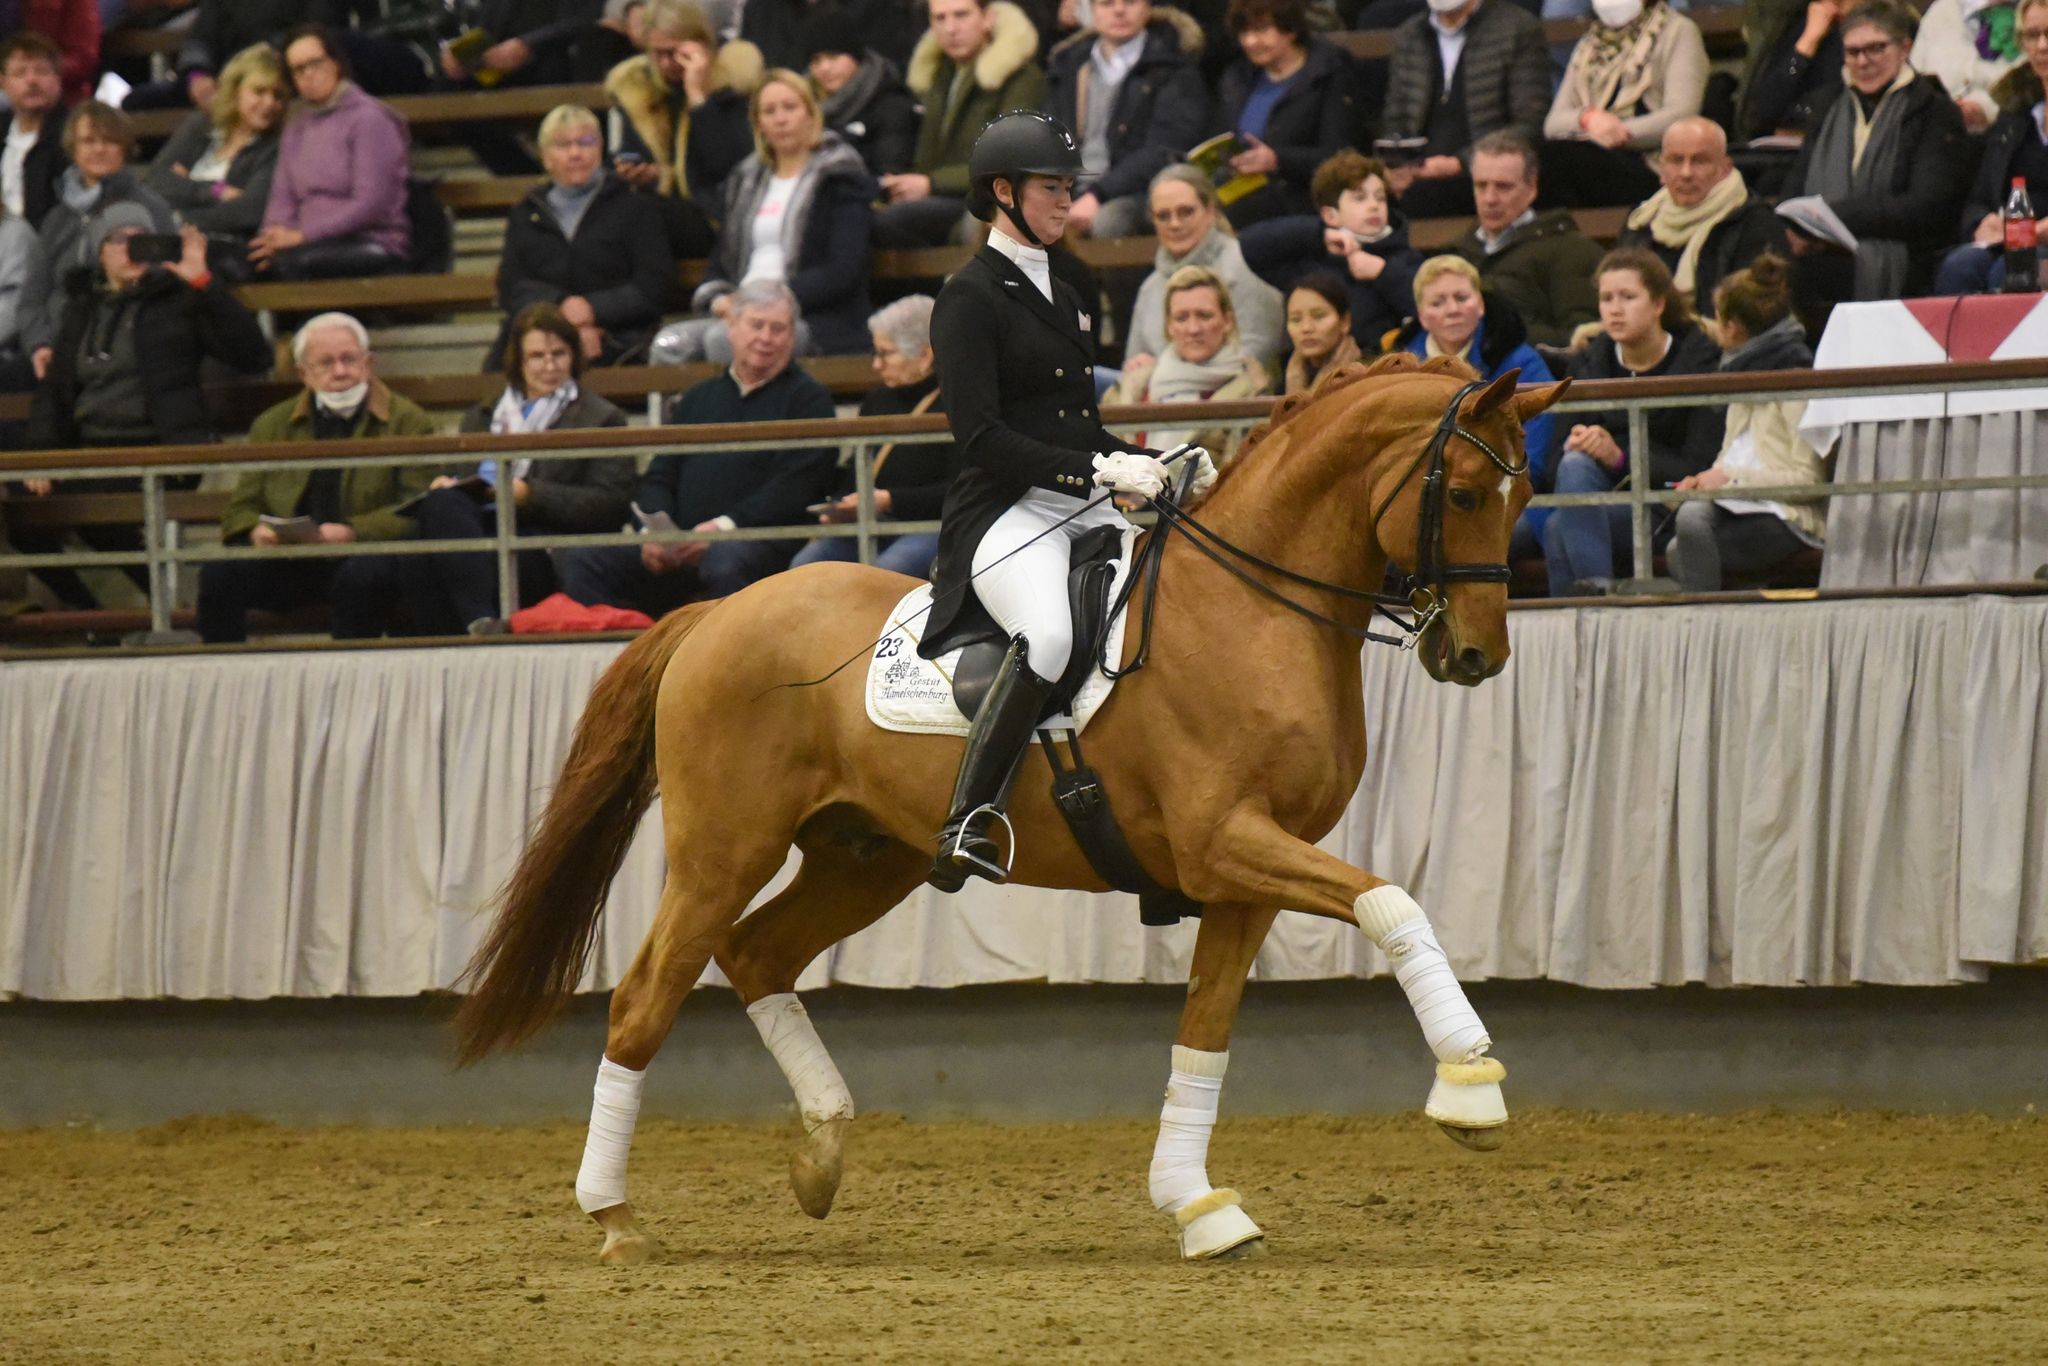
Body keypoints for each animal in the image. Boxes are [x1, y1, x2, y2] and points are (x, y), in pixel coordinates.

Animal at [452, 358, 1564, 1269]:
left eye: (1526, 496)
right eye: (1467, 492)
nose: (1474, 656)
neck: (1248, 611)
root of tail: (717, 612)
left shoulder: (1242, 876)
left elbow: (1204, 1037)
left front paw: (1197, 1207)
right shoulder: (1227, 844)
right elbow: (1394, 901)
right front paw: (1470, 1086)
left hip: (868, 856)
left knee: (758, 953)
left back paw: (821, 1154)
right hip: (724, 848)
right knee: (648, 996)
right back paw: (613, 1215)